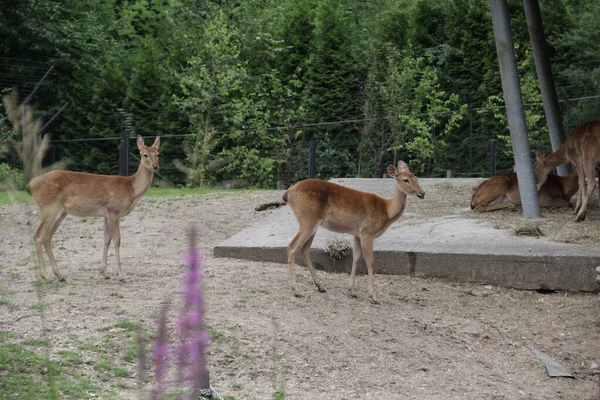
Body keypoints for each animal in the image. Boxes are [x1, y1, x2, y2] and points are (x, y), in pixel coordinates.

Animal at [27, 136, 161, 282]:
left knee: (47, 237)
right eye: (145, 154)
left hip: (61, 212)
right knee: (38, 236)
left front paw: (105, 273)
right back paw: (45, 276)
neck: (131, 188)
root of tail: (30, 186)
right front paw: (121, 275)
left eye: (157, 154)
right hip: (49, 207)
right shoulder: (113, 210)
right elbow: (117, 240)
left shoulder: (106, 215)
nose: (155, 166)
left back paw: (60, 275)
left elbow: (106, 240)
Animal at [284, 161, 424, 302]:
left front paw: (351, 291)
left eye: (416, 178)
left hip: (313, 223)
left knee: (305, 248)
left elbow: (356, 257)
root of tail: (288, 192)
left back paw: (320, 286)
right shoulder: (367, 232)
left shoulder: (357, 234)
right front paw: (374, 296)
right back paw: (296, 290)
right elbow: (370, 261)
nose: (422, 193)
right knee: (292, 246)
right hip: (308, 219)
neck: (386, 211)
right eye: (406, 180)